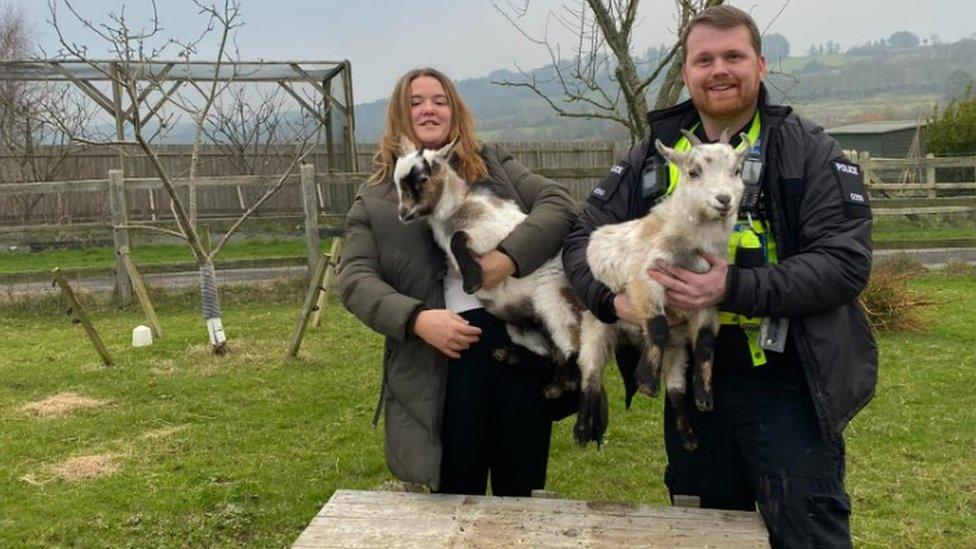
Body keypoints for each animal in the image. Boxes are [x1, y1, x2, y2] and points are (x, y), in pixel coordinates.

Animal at [392, 138, 584, 398]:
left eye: (421, 178)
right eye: (397, 182)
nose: (403, 214)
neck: (457, 209)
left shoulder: (491, 236)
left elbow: (457, 239)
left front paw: (471, 281)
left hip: (553, 304)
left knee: (570, 349)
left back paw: (558, 386)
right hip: (520, 327)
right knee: (548, 355)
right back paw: (509, 355)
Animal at [580, 131, 748, 448]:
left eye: (736, 171)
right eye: (693, 172)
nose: (724, 199)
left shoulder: (708, 298)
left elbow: (704, 343)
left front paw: (705, 397)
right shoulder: (645, 279)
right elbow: (657, 324)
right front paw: (647, 381)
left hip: (676, 348)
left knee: (675, 386)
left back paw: (689, 434)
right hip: (596, 325)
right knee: (590, 373)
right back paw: (583, 431)